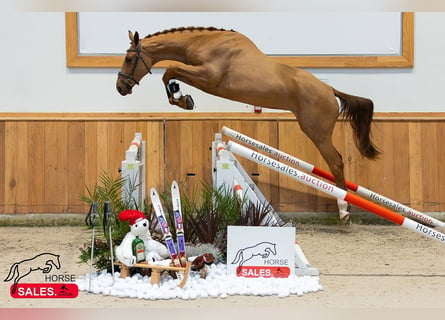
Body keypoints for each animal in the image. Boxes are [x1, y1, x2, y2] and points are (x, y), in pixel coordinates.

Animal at [115, 26, 378, 220]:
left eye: (129, 58)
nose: (120, 88)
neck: (203, 42)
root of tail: (330, 90)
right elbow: (170, 73)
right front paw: (182, 97)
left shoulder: (208, 77)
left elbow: (170, 70)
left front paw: (182, 98)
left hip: (317, 132)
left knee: (336, 162)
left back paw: (343, 210)